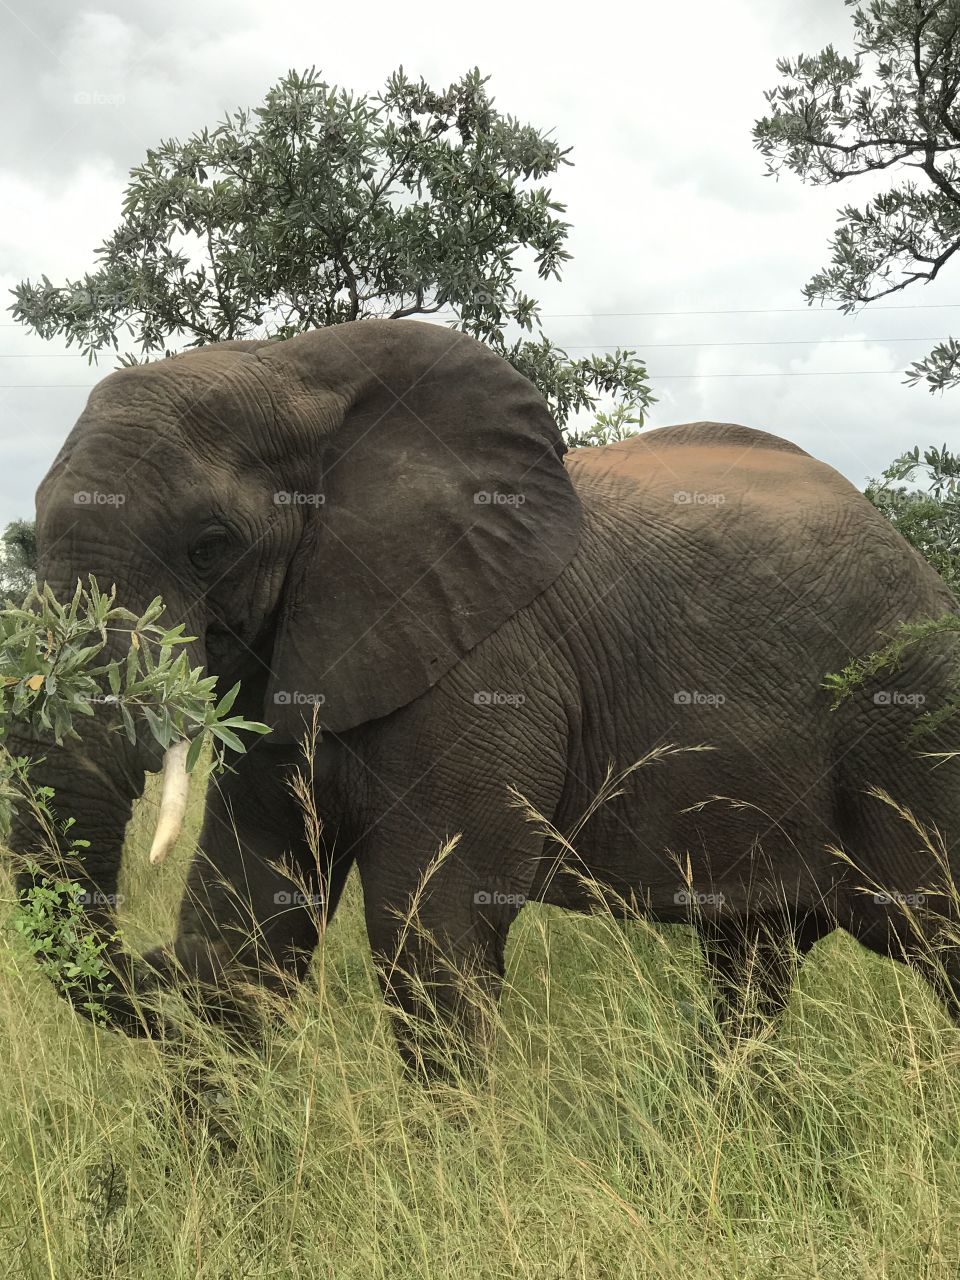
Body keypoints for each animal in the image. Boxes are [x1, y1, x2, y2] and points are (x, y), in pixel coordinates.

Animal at [6, 317, 960, 1073]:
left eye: (211, 545)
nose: (154, 963)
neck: (293, 368)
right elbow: (248, 920)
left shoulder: (489, 666)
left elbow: (432, 941)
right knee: (752, 966)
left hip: (912, 720)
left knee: (935, 934)